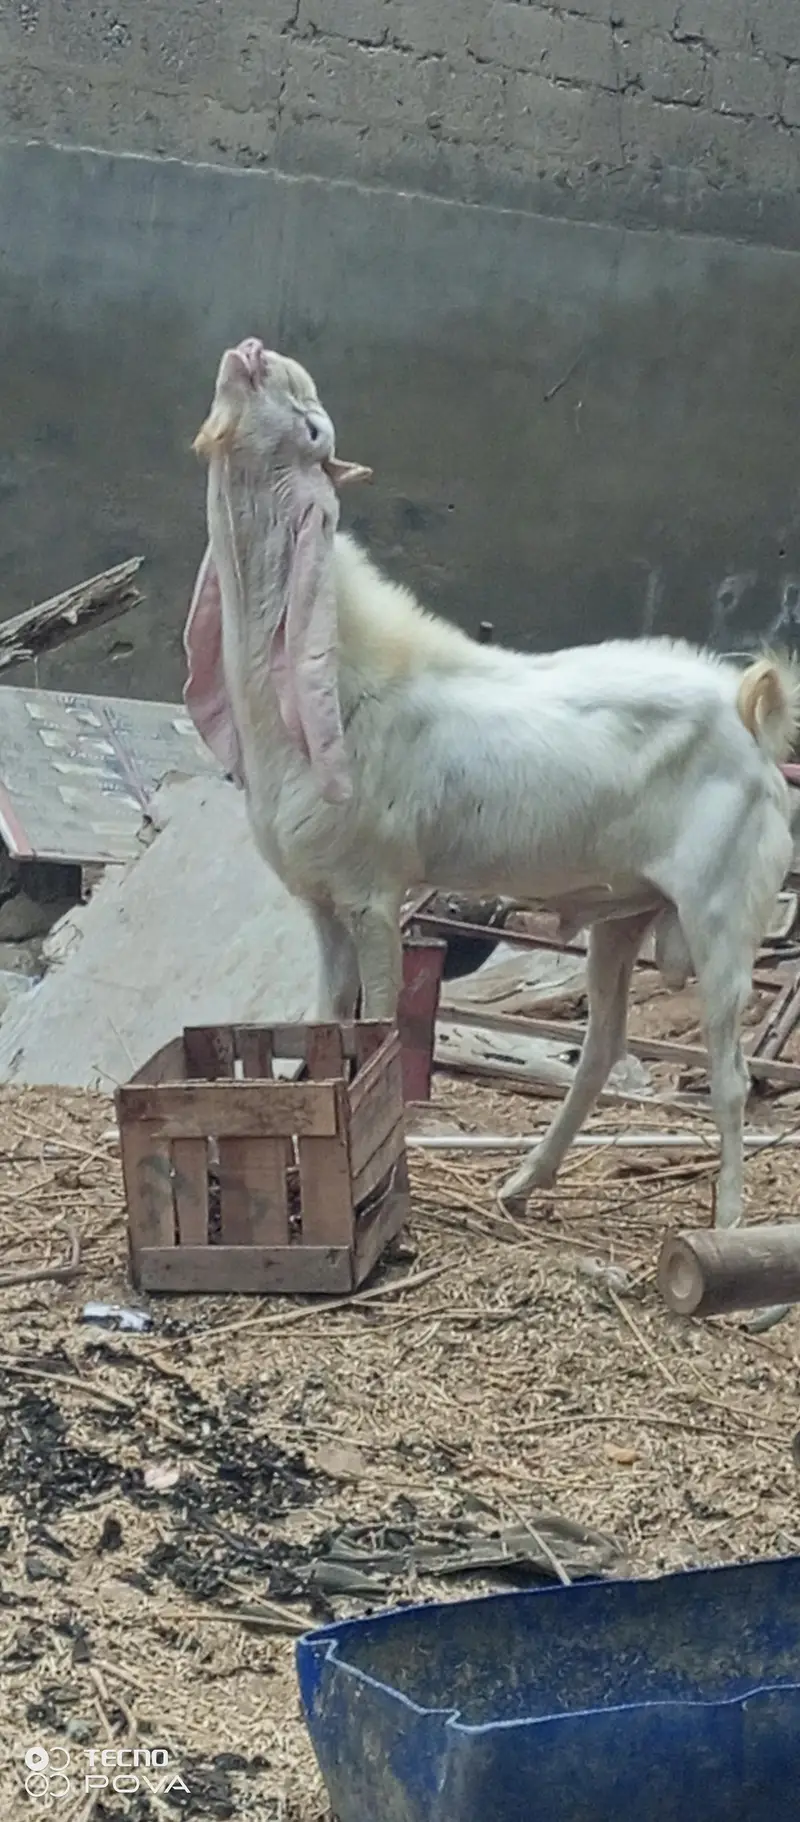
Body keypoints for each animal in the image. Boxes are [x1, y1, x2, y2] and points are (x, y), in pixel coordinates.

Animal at [185, 337, 800, 1316]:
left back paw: (738, 1248)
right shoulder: (322, 904)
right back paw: (521, 1184)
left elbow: (375, 1029)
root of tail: (751, 715)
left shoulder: (374, 895)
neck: (338, 678)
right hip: (627, 913)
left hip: (723, 911)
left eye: (315, 423)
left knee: (732, 1077)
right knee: (601, 1046)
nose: (251, 350)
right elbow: (321, 1031)